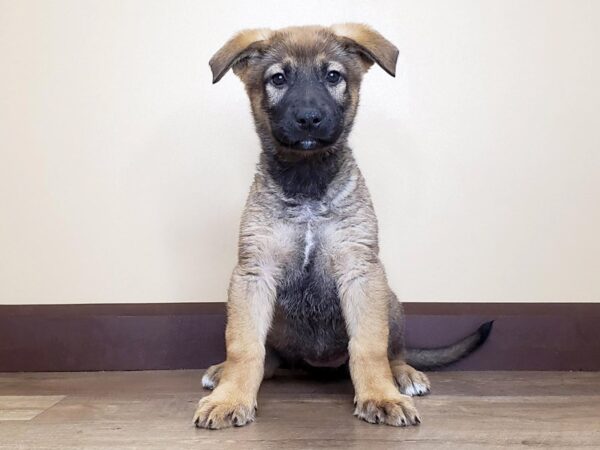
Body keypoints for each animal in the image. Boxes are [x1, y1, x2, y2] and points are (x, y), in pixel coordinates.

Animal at [193, 23, 492, 428]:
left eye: (333, 76)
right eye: (278, 78)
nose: (308, 118)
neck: (308, 183)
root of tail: (314, 362)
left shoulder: (360, 270)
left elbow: (369, 347)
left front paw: (380, 396)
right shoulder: (254, 272)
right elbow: (244, 347)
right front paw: (230, 397)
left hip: (388, 298)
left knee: (392, 352)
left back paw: (404, 374)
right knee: (268, 357)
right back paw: (222, 371)